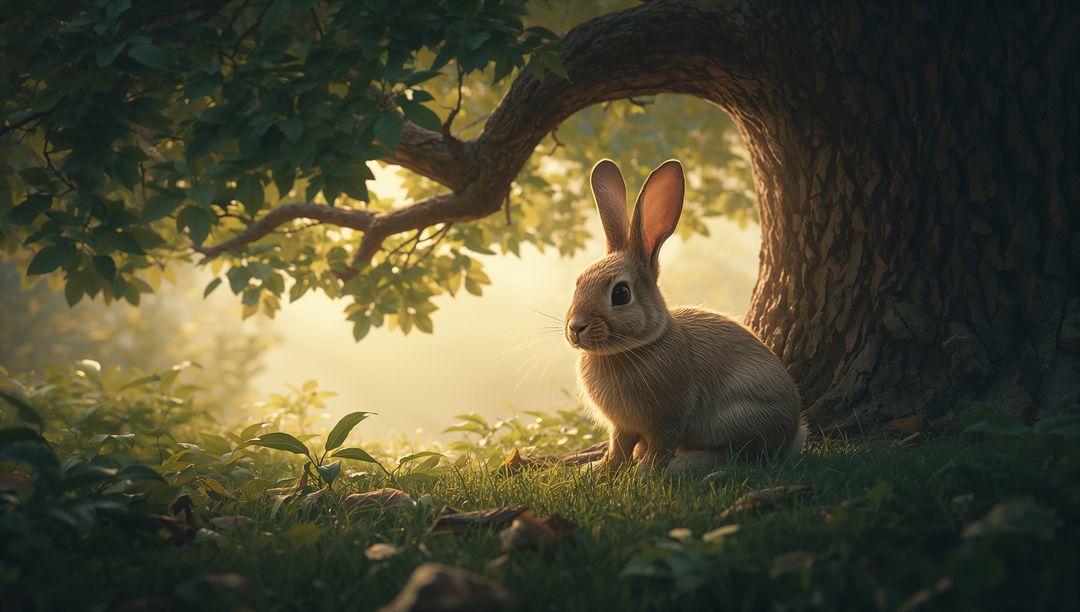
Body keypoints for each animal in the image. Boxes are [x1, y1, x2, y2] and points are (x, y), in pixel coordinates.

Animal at [565, 159, 806, 474]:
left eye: (620, 294)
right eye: (578, 283)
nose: (575, 327)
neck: (630, 349)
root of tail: (794, 430)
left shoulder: (669, 415)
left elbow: (660, 445)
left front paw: (644, 473)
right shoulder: (622, 426)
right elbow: (619, 447)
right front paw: (600, 469)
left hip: (742, 414)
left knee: (741, 454)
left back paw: (688, 464)